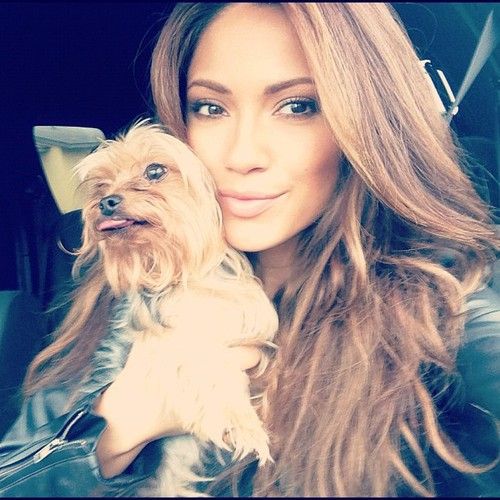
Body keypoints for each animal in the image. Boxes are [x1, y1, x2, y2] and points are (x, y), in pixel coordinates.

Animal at [71, 118, 280, 496]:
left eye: (155, 170)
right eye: (101, 184)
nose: (106, 201)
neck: (182, 273)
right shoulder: (168, 341)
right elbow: (211, 366)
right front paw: (242, 422)